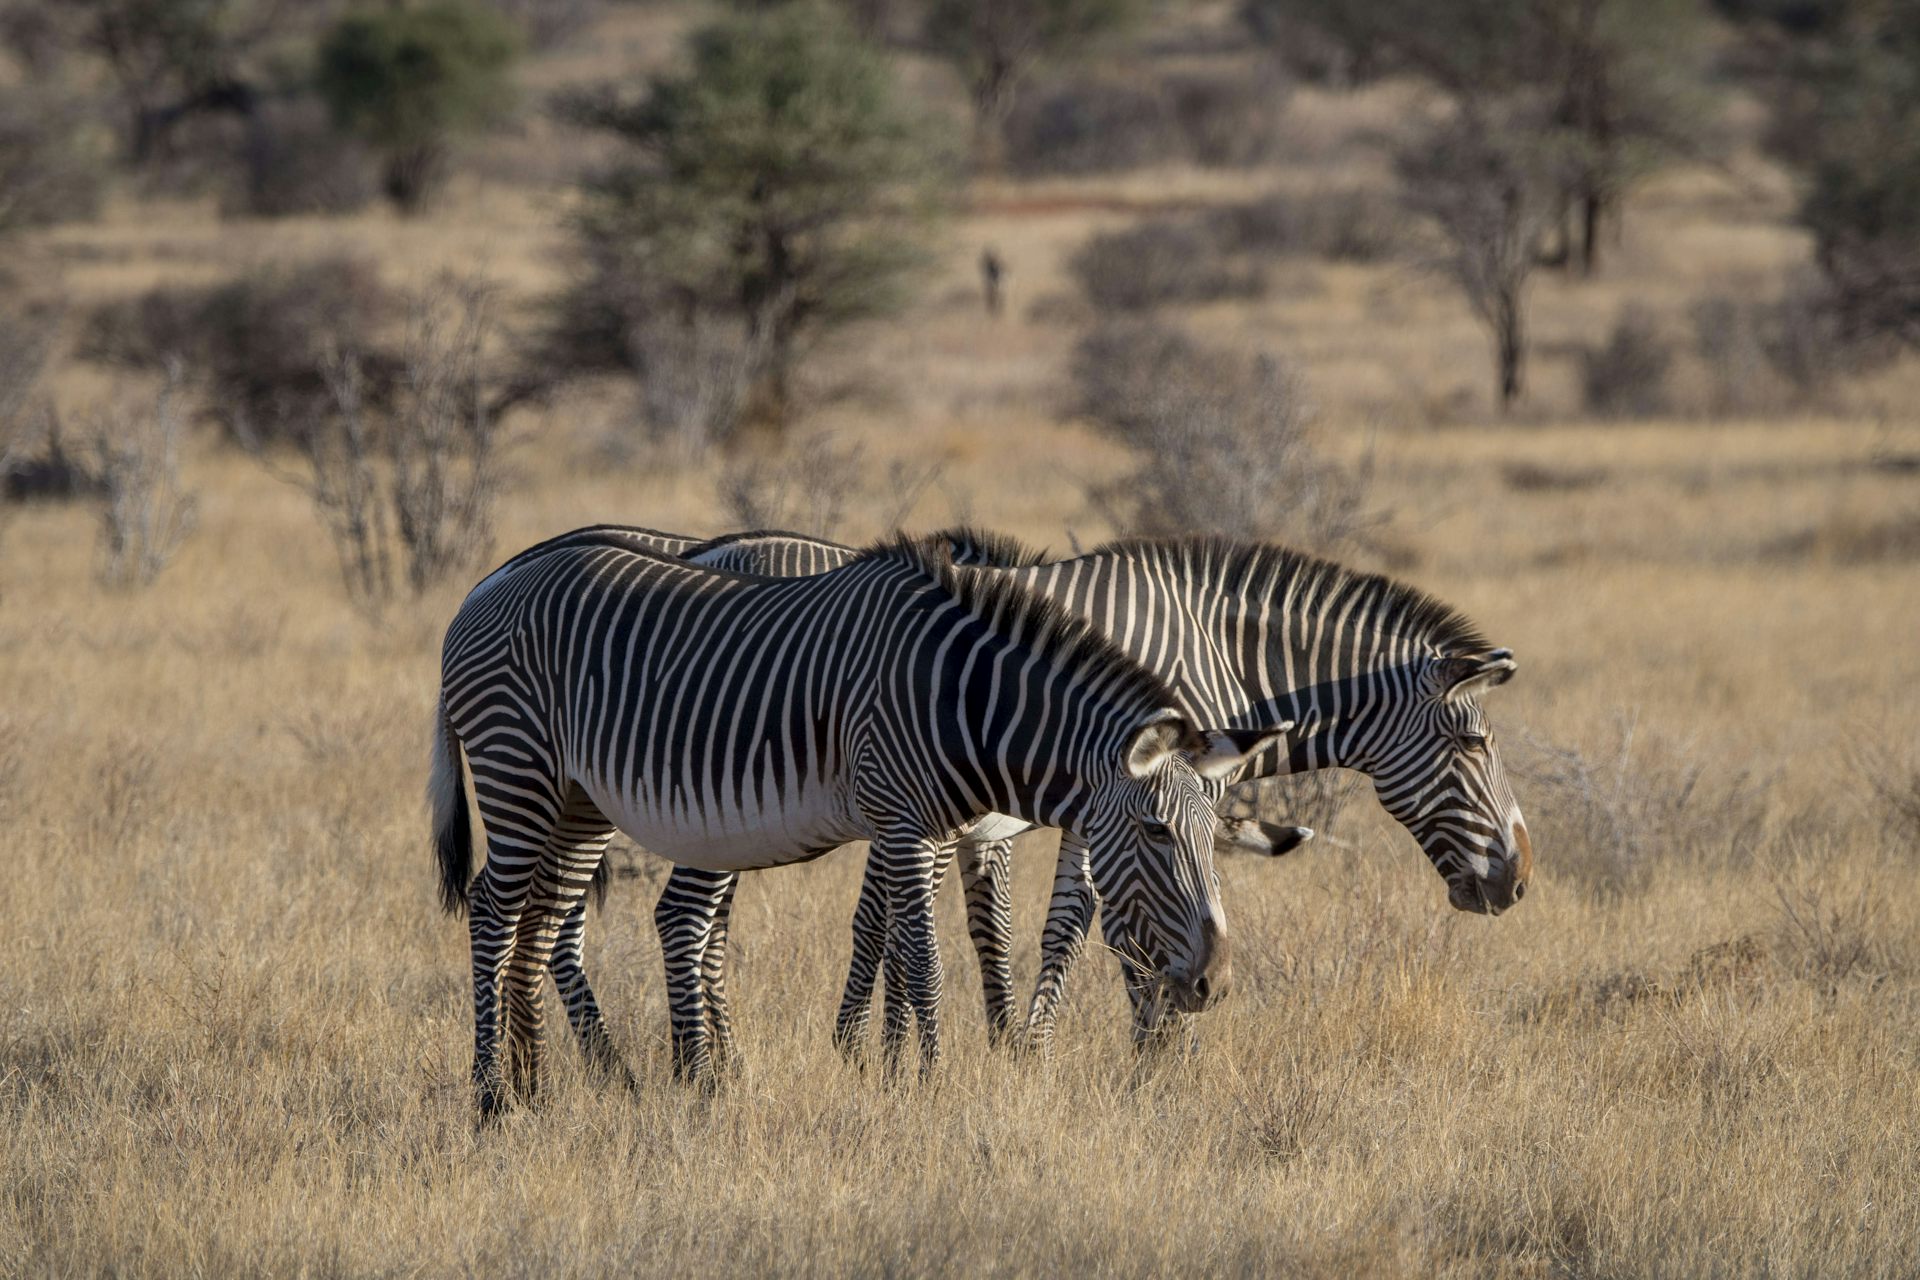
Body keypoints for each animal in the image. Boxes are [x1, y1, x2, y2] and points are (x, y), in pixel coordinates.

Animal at [433, 525, 1290, 1113]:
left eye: (1213, 839)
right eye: (1156, 832)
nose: (1214, 983)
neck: (965, 699)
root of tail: (482, 588)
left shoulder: (932, 830)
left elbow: (911, 951)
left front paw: (903, 1073)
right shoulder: (905, 821)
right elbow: (925, 961)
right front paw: (933, 1085)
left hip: (577, 801)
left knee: (543, 923)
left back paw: (540, 1088)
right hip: (518, 770)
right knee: (494, 910)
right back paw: (492, 1099)